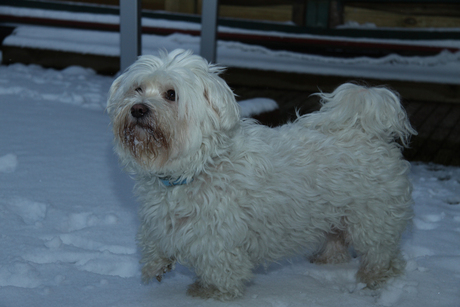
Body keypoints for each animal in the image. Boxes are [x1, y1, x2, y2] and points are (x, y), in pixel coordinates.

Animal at [108, 50, 416, 300]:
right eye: (138, 88)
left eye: (171, 94)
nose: (138, 109)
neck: (198, 165)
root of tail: (367, 131)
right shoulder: (163, 219)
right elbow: (154, 240)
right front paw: (155, 265)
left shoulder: (218, 237)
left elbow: (219, 266)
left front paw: (212, 292)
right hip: (336, 213)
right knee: (337, 239)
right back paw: (326, 260)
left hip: (373, 219)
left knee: (382, 253)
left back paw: (374, 278)